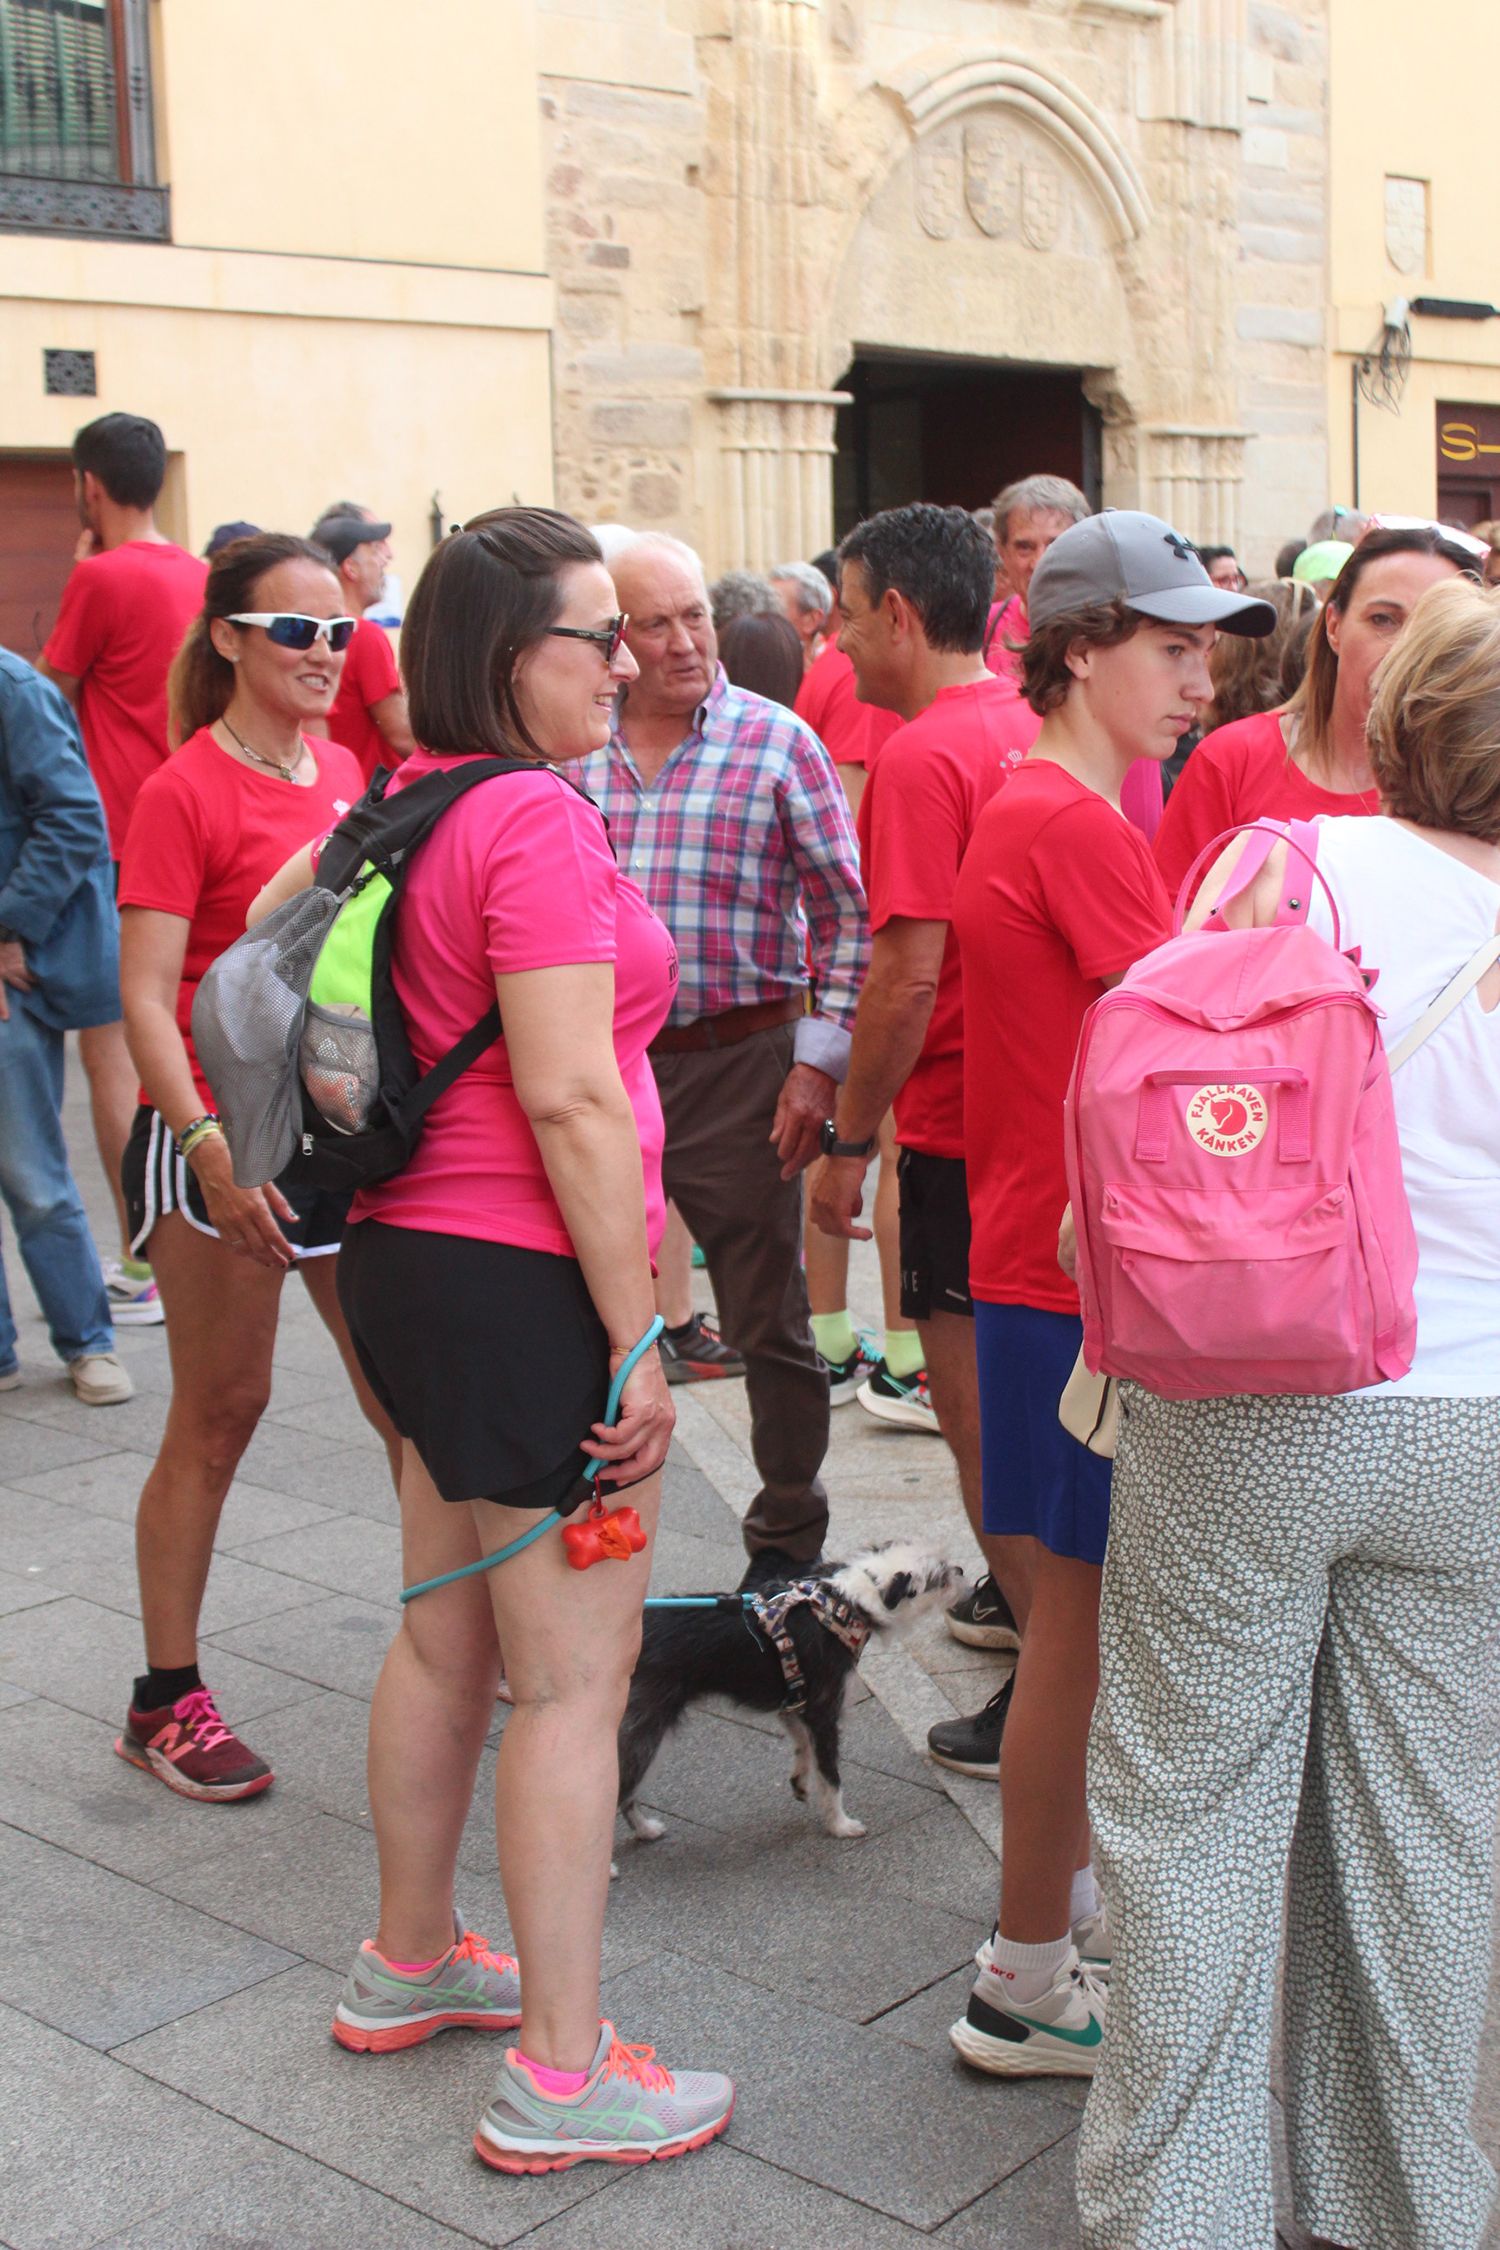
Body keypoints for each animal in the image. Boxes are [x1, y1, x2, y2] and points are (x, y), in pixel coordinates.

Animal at [620, 1548, 962, 1845]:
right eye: (939, 1577)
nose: (960, 1570)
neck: (846, 1604)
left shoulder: (795, 1703)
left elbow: (803, 1746)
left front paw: (799, 1781)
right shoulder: (823, 1711)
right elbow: (831, 1777)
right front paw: (839, 1825)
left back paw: (645, 1831)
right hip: (646, 1733)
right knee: (619, 1790)